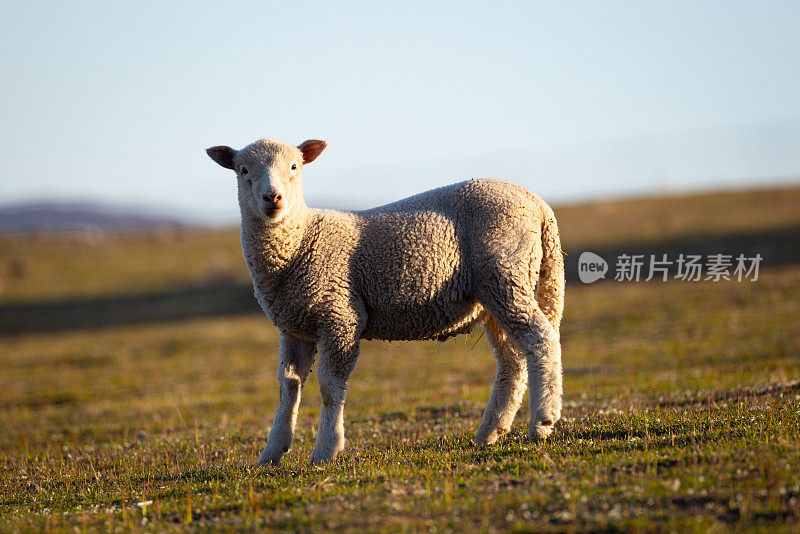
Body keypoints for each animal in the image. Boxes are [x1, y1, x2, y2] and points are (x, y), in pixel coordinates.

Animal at [208, 138, 568, 468]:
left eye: (295, 166)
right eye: (243, 171)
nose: (273, 198)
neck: (299, 242)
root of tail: (539, 205)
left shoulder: (340, 316)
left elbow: (329, 387)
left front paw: (326, 450)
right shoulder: (295, 327)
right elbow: (288, 388)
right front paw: (271, 453)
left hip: (506, 273)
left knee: (542, 339)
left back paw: (542, 421)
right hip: (496, 294)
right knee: (512, 361)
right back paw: (491, 431)